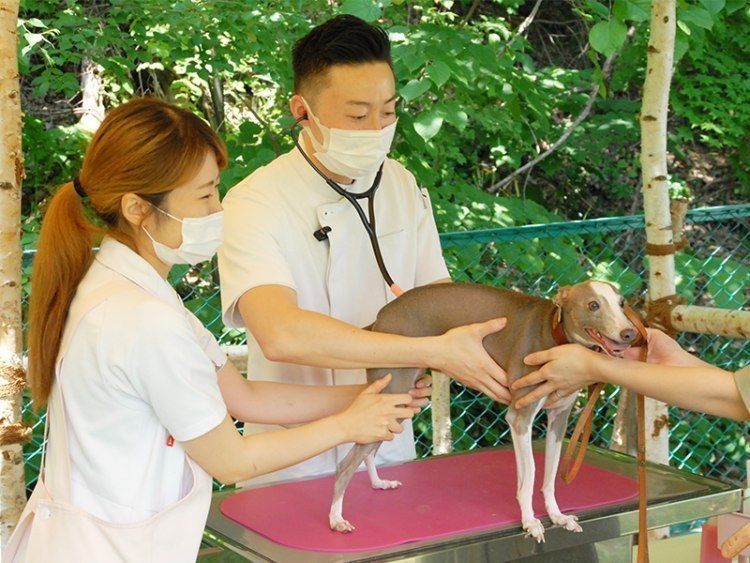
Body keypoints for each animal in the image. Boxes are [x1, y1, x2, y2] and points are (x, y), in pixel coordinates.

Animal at [328, 280, 640, 540]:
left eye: (622, 302)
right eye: (593, 305)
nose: (630, 334)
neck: (555, 334)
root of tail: (380, 319)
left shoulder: (558, 419)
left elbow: (549, 476)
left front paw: (556, 515)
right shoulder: (519, 416)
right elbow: (531, 472)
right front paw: (530, 521)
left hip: (399, 402)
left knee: (369, 452)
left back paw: (378, 483)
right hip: (396, 392)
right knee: (346, 464)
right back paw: (336, 519)